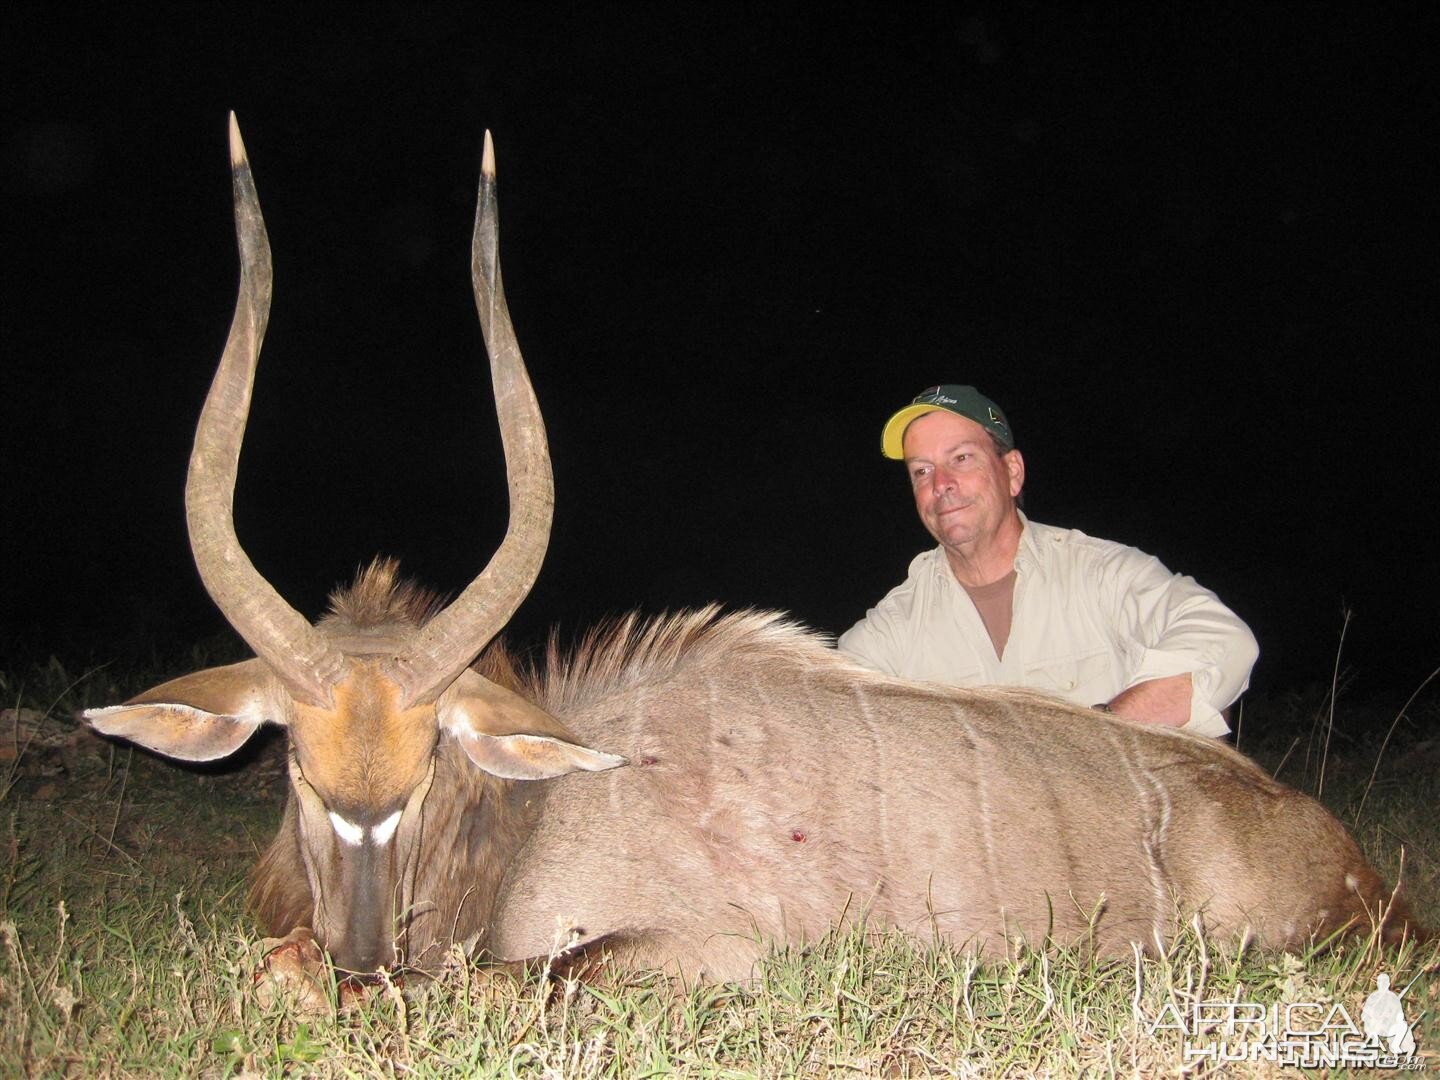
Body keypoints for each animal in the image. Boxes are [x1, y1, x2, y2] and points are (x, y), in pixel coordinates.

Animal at [87, 116, 1416, 979]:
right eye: (298, 769)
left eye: (425, 771)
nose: (365, 958)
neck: (540, 808)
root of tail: (1363, 869)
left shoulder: (703, 957)